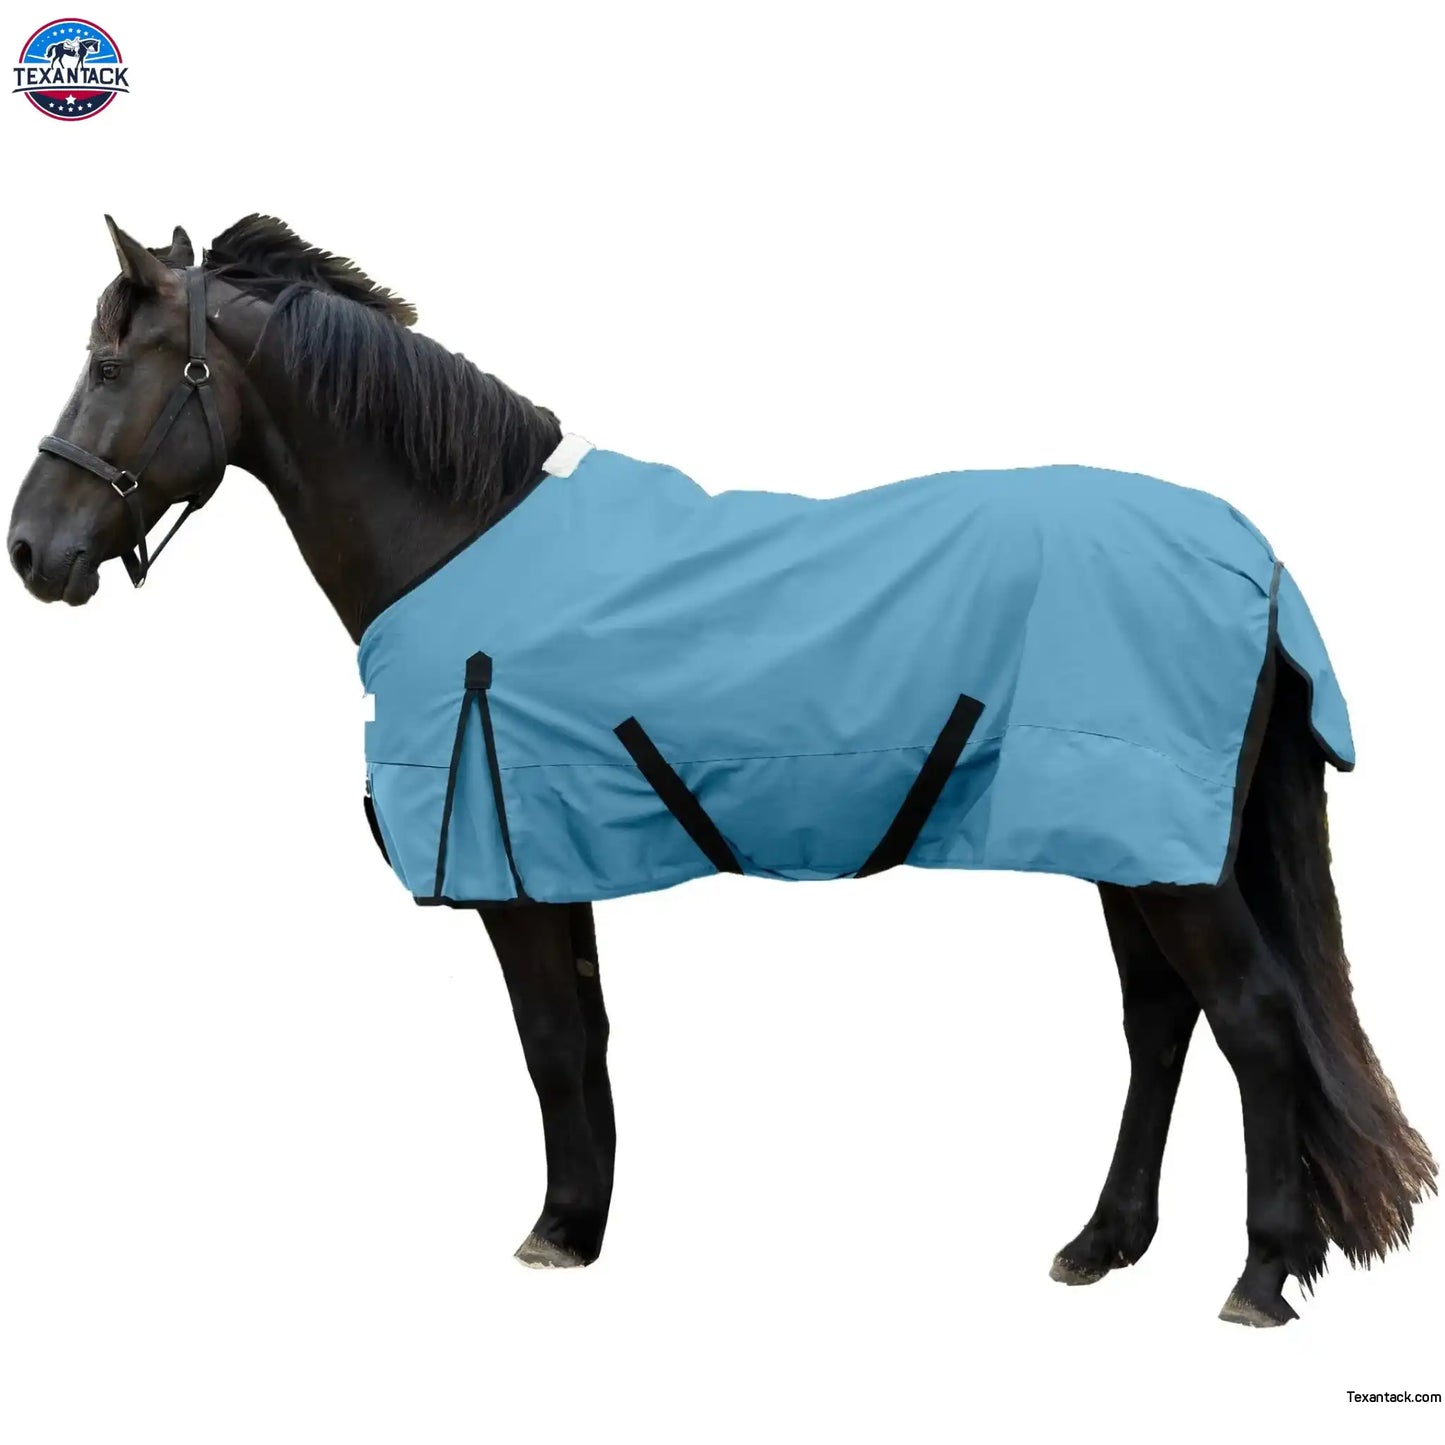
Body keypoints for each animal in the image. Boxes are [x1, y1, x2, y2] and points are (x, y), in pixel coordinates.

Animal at [8, 215, 1435, 1327]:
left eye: (107, 364)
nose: (31, 549)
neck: (459, 538)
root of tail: (1251, 557)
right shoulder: (551, 857)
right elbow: (580, 1037)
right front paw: (580, 1221)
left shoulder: (513, 865)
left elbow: (550, 1041)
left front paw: (555, 1231)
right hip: (1126, 848)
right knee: (1159, 1024)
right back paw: (1103, 1243)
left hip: (1162, 858)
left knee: (1252, 1020)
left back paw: (1256, 1275)